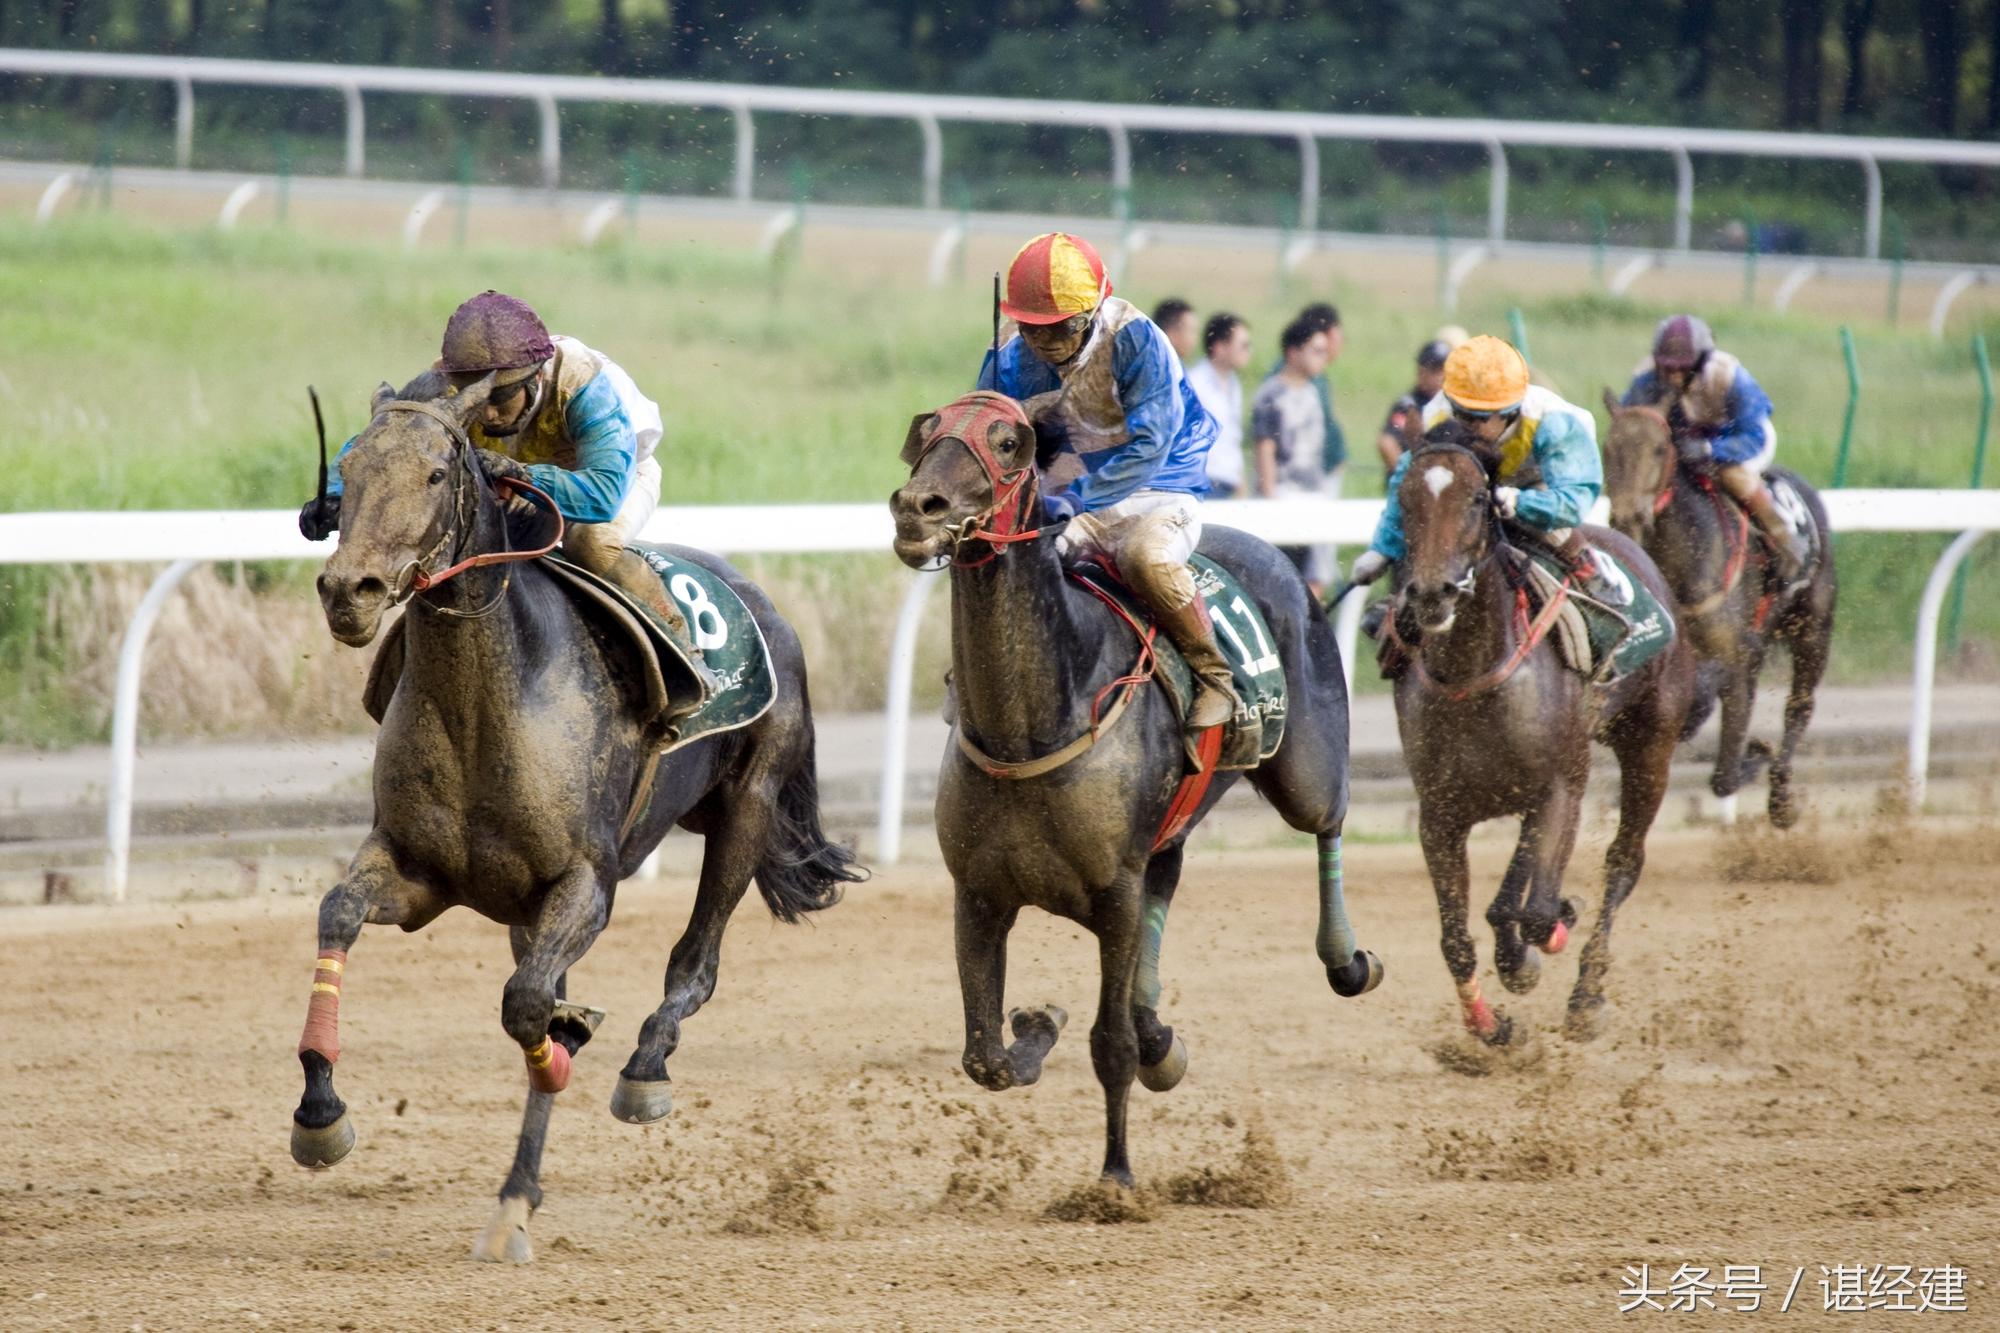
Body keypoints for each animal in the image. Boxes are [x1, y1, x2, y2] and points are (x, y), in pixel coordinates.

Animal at [888, 392, 1376, 1184]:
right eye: (927, 432)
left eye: (1009, 442)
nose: (916, 508)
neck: (1036, 725)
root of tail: (1280, 555)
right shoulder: (979, 893)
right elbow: (984, 1057)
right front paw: (1041, 1022)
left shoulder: (1113, 894)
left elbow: (1107, 1043)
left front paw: (1115, 1175)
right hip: (1170, 831)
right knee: (1167, 888)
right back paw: (1158, 1034)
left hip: (1305, 767)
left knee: (1327, 820)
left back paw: (1346, 959)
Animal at [1392, 440, 1688, 1040]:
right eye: (1404, 499)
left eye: (1476, 498)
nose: (1432, 593)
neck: (1474, 674)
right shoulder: (1440, 813)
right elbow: (1457, 940)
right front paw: (1490, 1029)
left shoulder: (1560, 787)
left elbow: (1538, 912)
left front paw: (1553, 928)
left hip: (1650, 745)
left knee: (1622, 863)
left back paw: (1586, 993)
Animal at [1600, 394, 1832, 824]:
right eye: (1608, 448)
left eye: (1659, 449)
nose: (1628, 517)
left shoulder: (1736, 664)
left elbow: (1724, 777)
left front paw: (1756, 753)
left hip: (1813, 629)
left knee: (1799, 706)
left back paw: (1781, 798)